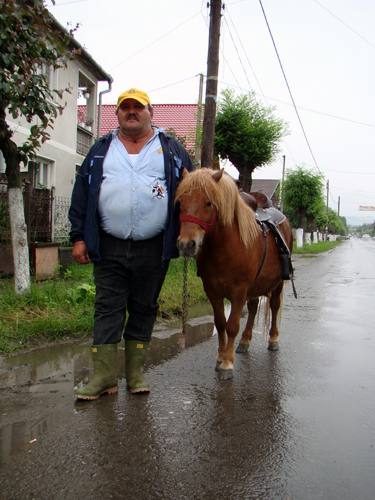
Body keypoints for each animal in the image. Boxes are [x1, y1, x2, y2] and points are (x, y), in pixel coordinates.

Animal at [175, 168, 296, 378]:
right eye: (181, 202)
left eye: (208, 202)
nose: (186, 244)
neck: (225, 246)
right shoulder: (212, 291)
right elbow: (220, 323)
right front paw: (220, 357)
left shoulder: (238, 291)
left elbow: (232, 326)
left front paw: (227, 364)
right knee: (254, 307)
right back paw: (245, 341)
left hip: (278, 283)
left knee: (274, 306)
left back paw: (273, 339)